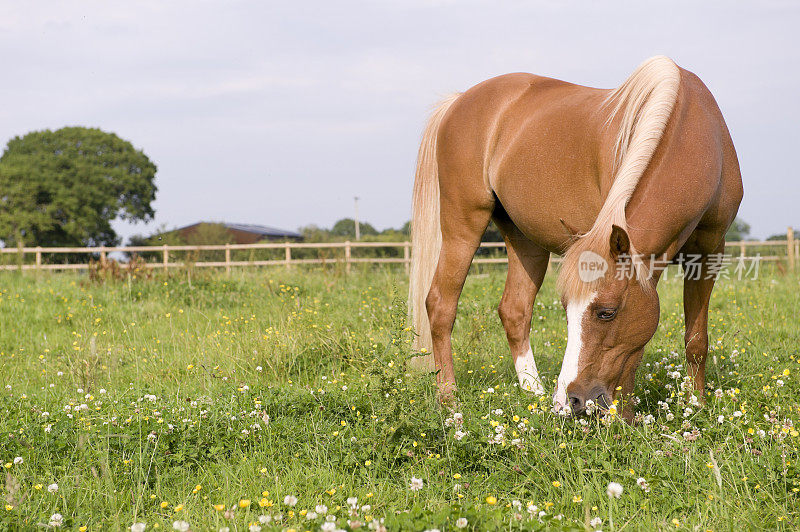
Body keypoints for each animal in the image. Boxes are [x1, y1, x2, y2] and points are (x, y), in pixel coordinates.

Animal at [410, 56, 748, 418]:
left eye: (606, 312)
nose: (570, 401)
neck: (695, 135)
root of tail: (458, 101)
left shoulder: (709, 254)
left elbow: (696, 340)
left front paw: (697, 405)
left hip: (523, 239)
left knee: (515, 310)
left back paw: (533, 394)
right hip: (463, 225)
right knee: (440, 305)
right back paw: (449, 400)